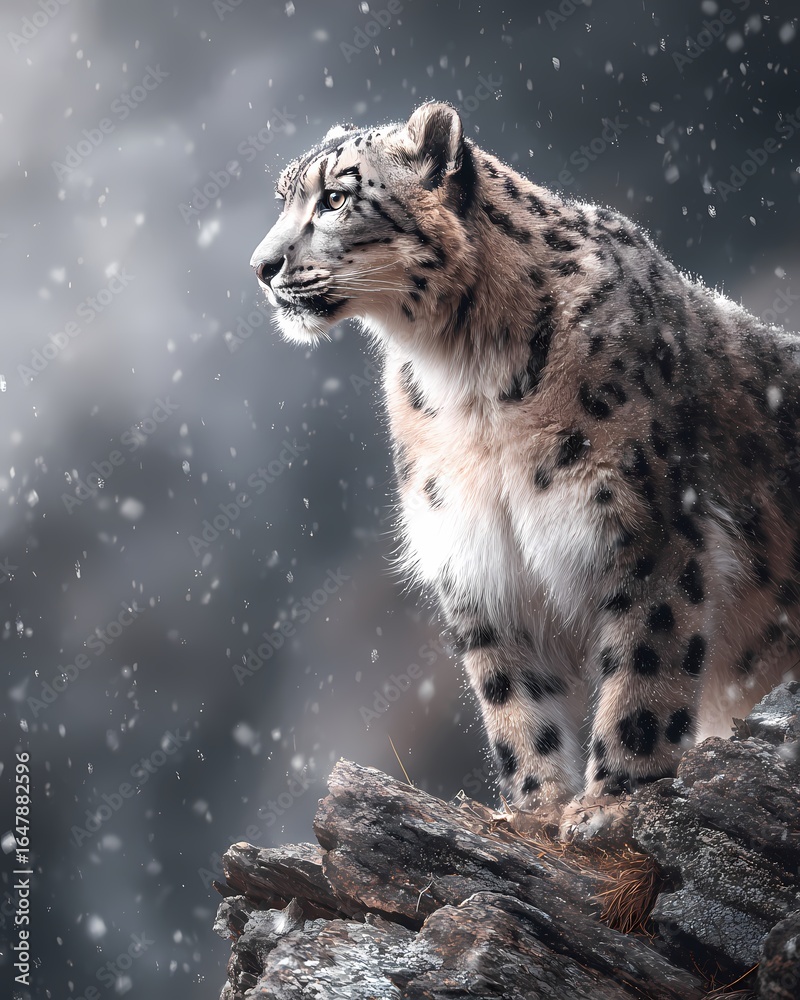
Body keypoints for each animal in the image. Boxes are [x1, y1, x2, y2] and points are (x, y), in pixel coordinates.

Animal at [249, 101, 800, 825]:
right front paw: (536, 809)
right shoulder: (476, 558)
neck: (467, 383)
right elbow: (512, 700)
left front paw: (609, 804)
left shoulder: (649, 531)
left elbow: (646, 667)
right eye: (284, 197)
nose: (261, 265)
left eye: (335, 198)